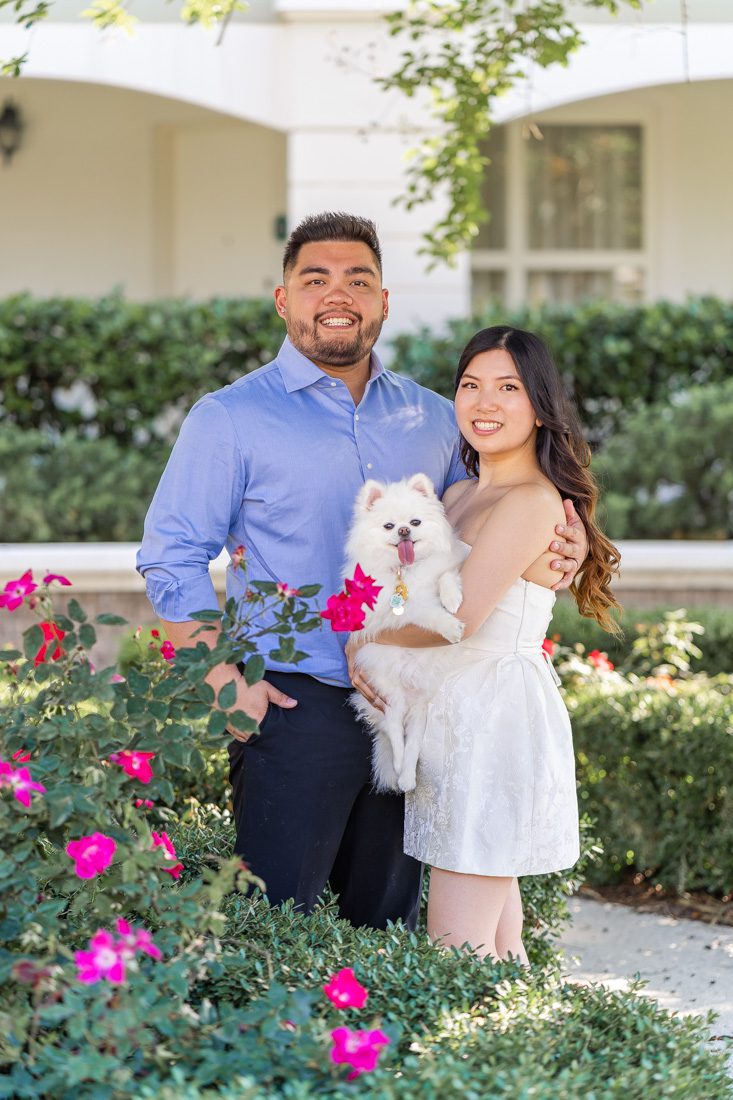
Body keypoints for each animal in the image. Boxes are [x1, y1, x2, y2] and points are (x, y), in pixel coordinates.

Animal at [343, 473, 462, 792]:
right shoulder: (399, 610)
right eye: (389, 526)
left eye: (415, 522)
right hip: (389, 696)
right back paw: (398, 767)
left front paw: (452, 599)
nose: (404, 530)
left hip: (421, 708)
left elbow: (446, 577)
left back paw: (407, 777)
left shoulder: (444, 567)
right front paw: (450, 625)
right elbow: (427, 612)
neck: (405, 571)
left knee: (413, 744)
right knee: (395, 732)